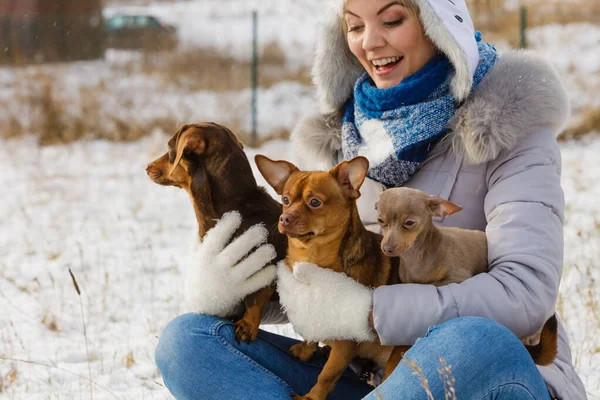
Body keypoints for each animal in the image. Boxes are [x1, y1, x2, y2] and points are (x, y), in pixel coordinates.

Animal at [145, 122, 286, 340]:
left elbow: (255, 298)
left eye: (169, 147)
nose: (147, 167)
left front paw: (248, 324)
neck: (238, 205)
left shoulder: (268, 268)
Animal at [253, 155, 404, 400]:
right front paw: (307, 348)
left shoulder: (345, 346)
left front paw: (311, 398)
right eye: (285, 199)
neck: (310, 259)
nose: (284, 217)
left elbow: (326, 376)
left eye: (315, 203)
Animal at [378, 188, 560, 368]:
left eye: (409, 223)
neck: (418, 255)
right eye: (380, 221)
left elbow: (433, 284)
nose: (387, 248)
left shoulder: (456, 277)